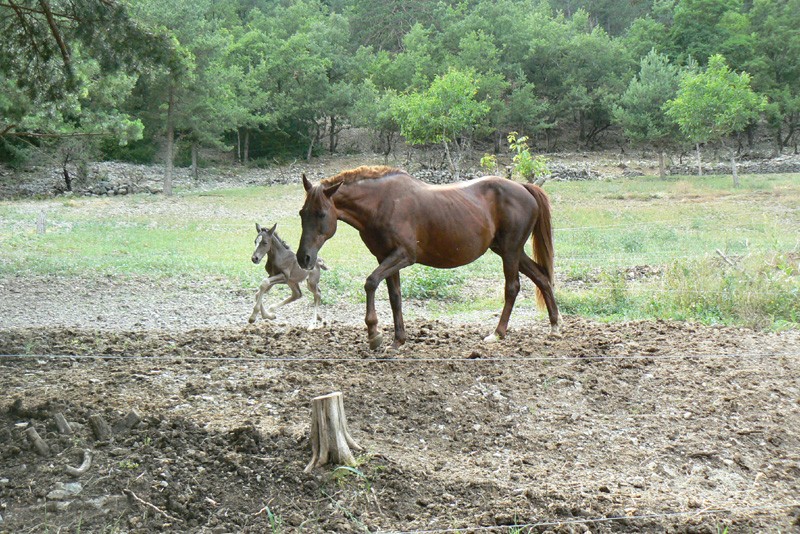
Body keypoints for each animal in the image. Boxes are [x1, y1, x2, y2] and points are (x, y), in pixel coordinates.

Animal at [296, 168, 564, 352]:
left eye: (321, 214)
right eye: (302, 213)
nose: (304, 257)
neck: (383, 203)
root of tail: (524, 187)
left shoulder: (404, 256)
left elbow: (370, 282)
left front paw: (373, 333)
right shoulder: (386, 257)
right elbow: (395, 297)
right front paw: (398, 340)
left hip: (510, 252)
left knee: (513, 288)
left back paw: (497, 333)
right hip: (510, 251)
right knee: (541, 277)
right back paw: (554, 326)